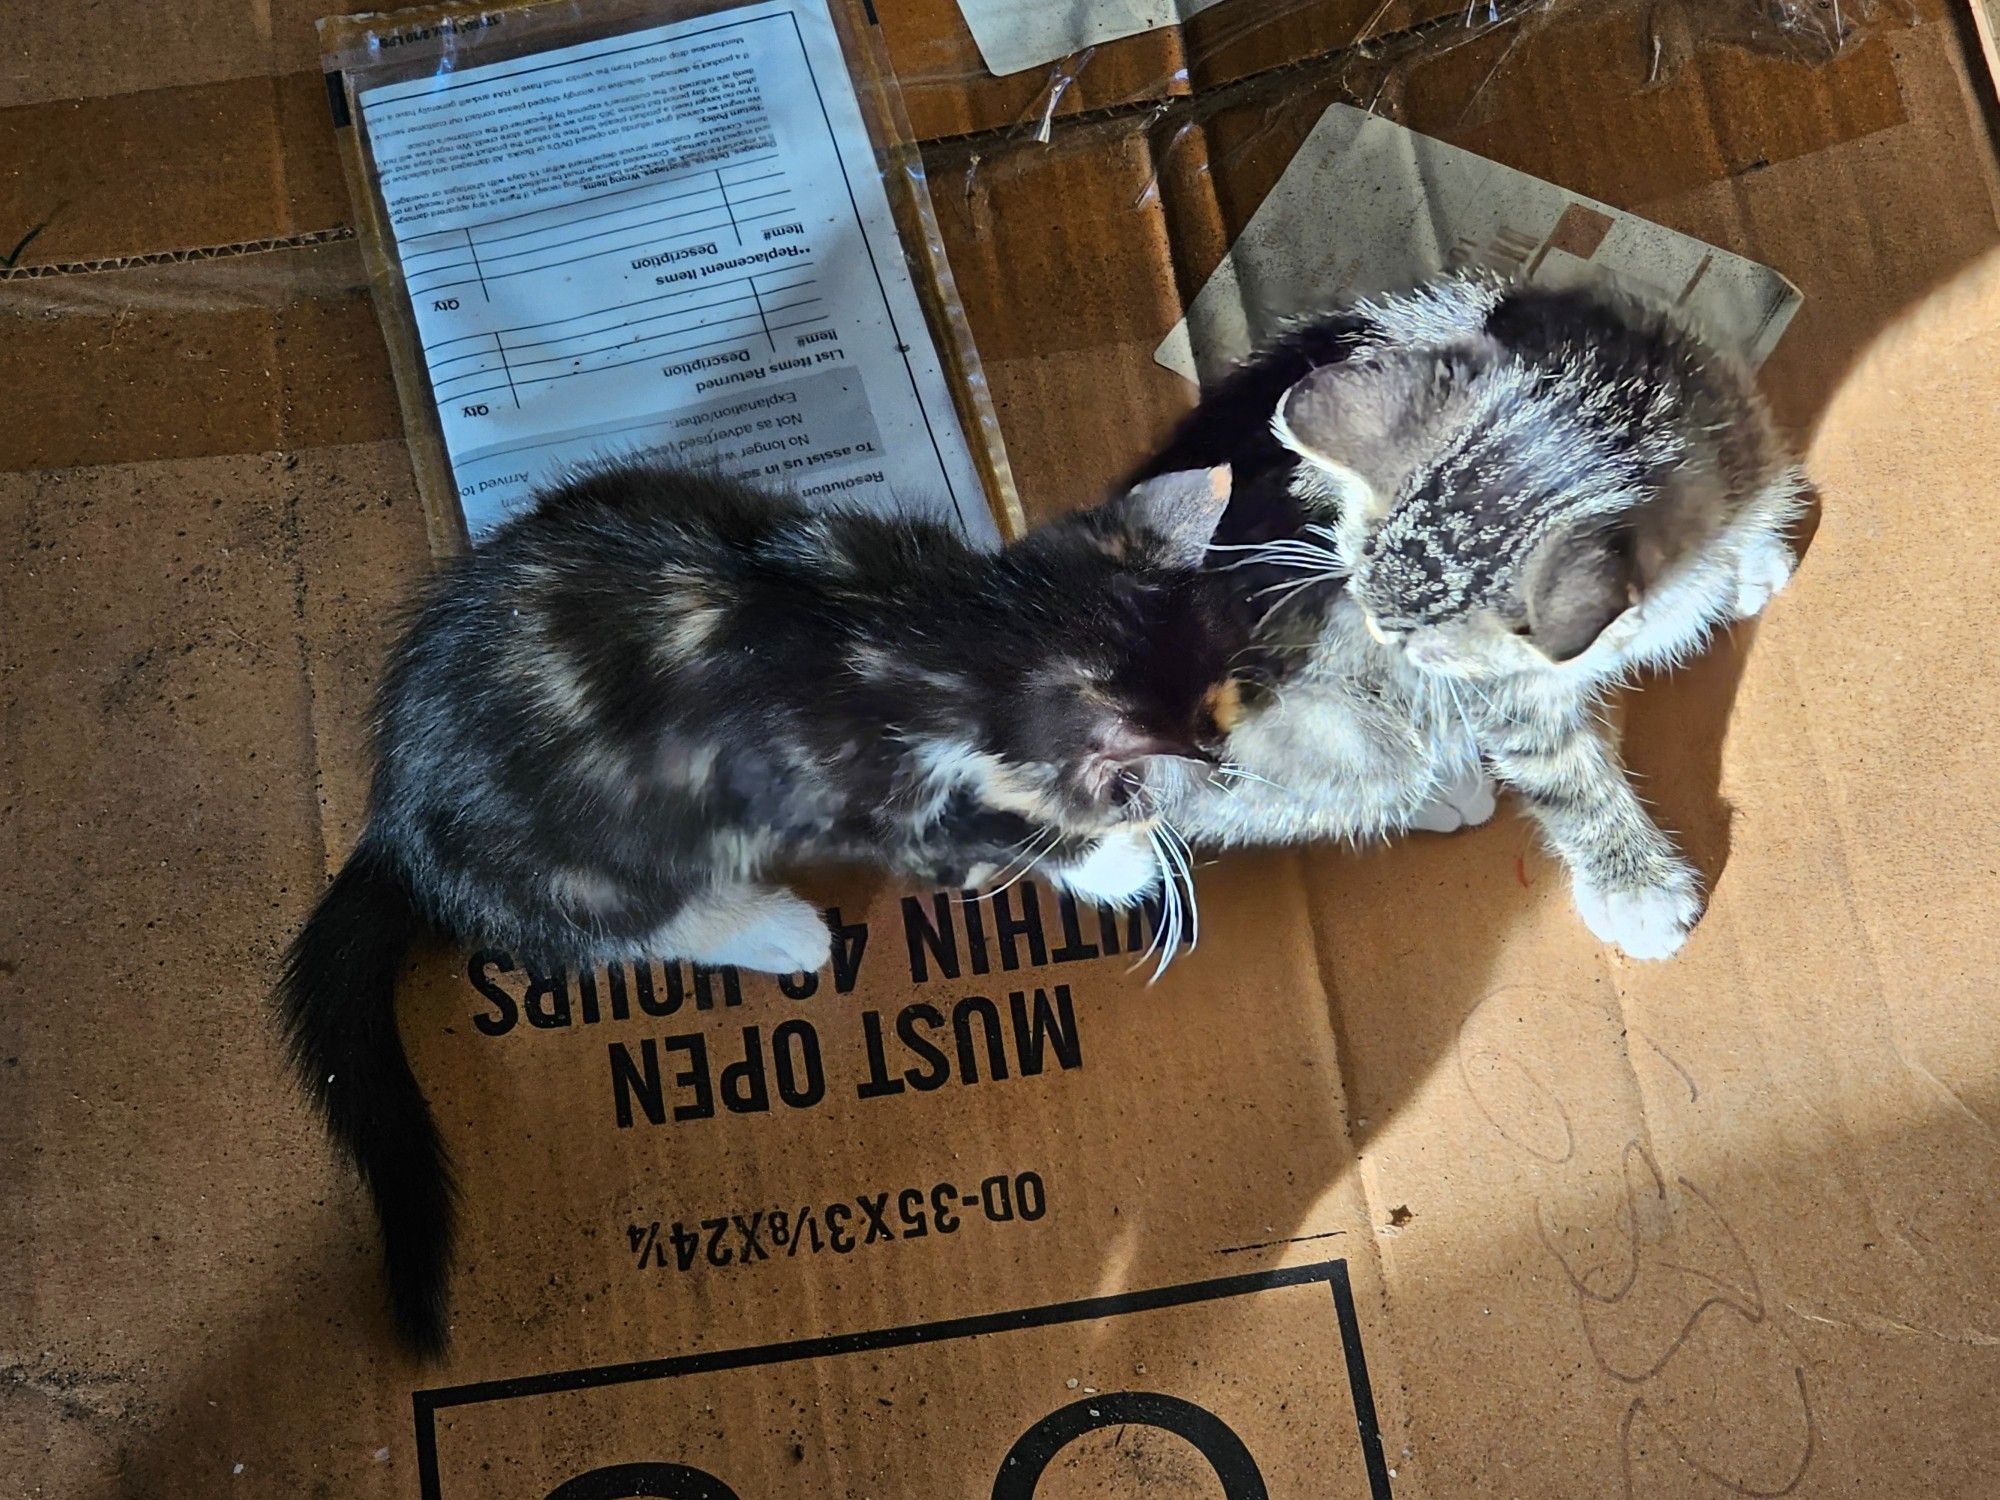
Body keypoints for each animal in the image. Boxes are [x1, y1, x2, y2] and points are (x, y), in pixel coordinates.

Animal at [274, 464, 1240, 1360]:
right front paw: (1122, 866)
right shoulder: (866, 802)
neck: (927, 625)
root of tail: (395, 823)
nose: (1228, 774)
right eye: (1165, 778)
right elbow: (988, 839)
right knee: (612, 931)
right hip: (592, 865)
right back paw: (778, 929)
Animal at [1136, 278, 1808, 964]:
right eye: (1368, 606)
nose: (1383, 639)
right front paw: (1632, 885)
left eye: (1426, 647)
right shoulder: (1506, 693)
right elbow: (1560, 771)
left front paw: (1751, 557)